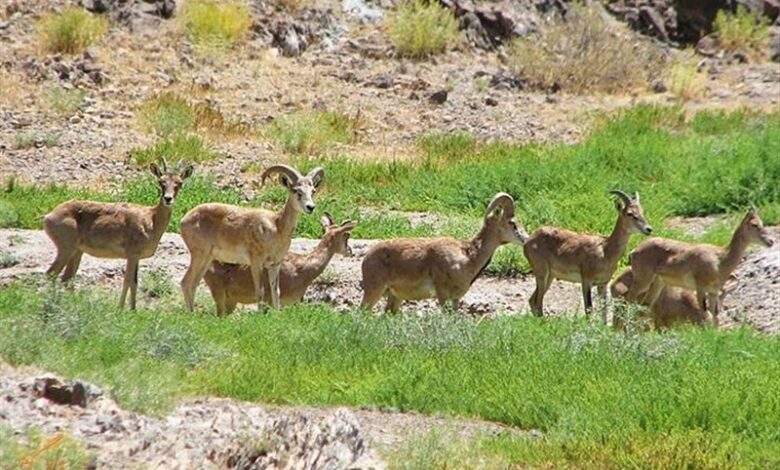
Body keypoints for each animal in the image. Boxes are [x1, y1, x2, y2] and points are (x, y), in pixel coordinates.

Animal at [43, 160, 194, 310]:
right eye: (161, 181)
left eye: (179, 182)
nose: (168, 199)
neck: (151, 219)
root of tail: (49, 216)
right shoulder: (131, 254)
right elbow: (128, 280)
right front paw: (122, 308)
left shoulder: (137, 257)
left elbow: (134, 282)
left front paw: (133, 309)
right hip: (66, 249)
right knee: (51, 274)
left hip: (77, 252)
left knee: (66, 278)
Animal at [203, 214, 358, 316]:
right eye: (347, 235)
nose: (350, 251)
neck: (303, 270)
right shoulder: (269, 300)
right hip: (218, 289)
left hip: (231, 299)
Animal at [362, 193, 532, 314]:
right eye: (512, 223)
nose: (526, 239)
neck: (468, 257)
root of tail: (367, 258)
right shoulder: (442, 295)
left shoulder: (455, 299)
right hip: (374, 291)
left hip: (395, 297)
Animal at [620, 207, 772, 326]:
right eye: (754, 224)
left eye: (762, 223)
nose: (770, 241)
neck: (720, 259)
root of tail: (634, 251)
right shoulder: (700, 289)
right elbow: (704, 312)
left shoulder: (713, 292)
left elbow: (715, 315)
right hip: (642, 281)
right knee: (628, 299)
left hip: (657, 283)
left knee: (643, 305)